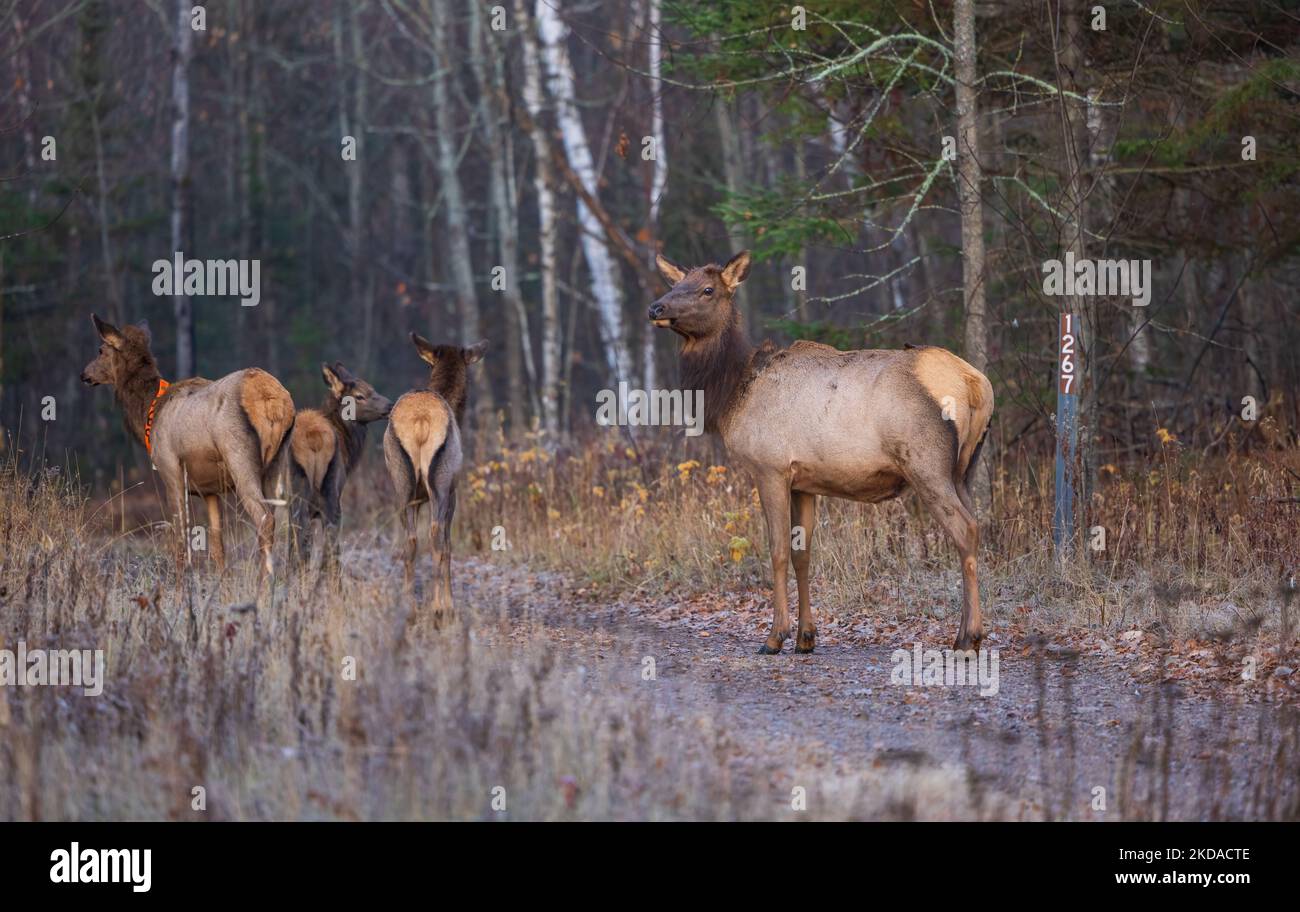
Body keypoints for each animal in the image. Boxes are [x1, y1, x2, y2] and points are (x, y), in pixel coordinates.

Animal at [81, 314, 295, 583]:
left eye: (100, 350)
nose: (84, 374)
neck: (149, 412)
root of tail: (273, 400)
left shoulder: (171, 470)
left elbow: (181, 538)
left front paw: (180, 585)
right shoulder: (210, 490)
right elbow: (217, 543)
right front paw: (222, 585)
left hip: (239, 455)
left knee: (264, 518)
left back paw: (263, 583)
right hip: (278, 460)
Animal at [383, 333, 487, 615]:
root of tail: (421, 421)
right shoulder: (453, 492)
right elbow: (449, 545)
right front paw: (448, 602)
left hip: (402, 481)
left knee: (410, 540)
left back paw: (409, 604)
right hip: (441, 480)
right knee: (436, 537)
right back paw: (439, 607)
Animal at [649, 252, 994, 654]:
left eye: (707, 289)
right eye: (675, 283)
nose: (656, 307)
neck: (732, 393)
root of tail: (975, 384)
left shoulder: (770, 468)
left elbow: (778, 551)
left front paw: (775, 636)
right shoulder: (804, 482)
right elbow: (803, 554)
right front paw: (806, 637)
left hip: (926, 463)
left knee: (964, 530)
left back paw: (968, 638)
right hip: (964, 468)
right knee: (976, 525)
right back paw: (968, 633)